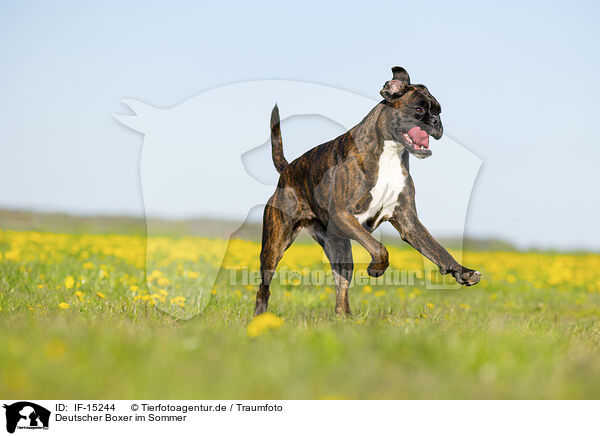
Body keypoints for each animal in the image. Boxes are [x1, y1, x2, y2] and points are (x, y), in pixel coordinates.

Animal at [255, 66, 480, 316]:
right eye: (419, 109)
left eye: (439, 111)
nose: (435, 121)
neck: (389, 153)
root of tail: (287, 170)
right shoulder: (344, 215)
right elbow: (380, 248)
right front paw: (376, 269)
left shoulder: (409, 222)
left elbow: (438, 249)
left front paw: (463, 271)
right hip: (274, 245)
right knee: (264, 286)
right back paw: (260, 316)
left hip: (339, 248)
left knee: (341, 288)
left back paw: (345, 318)